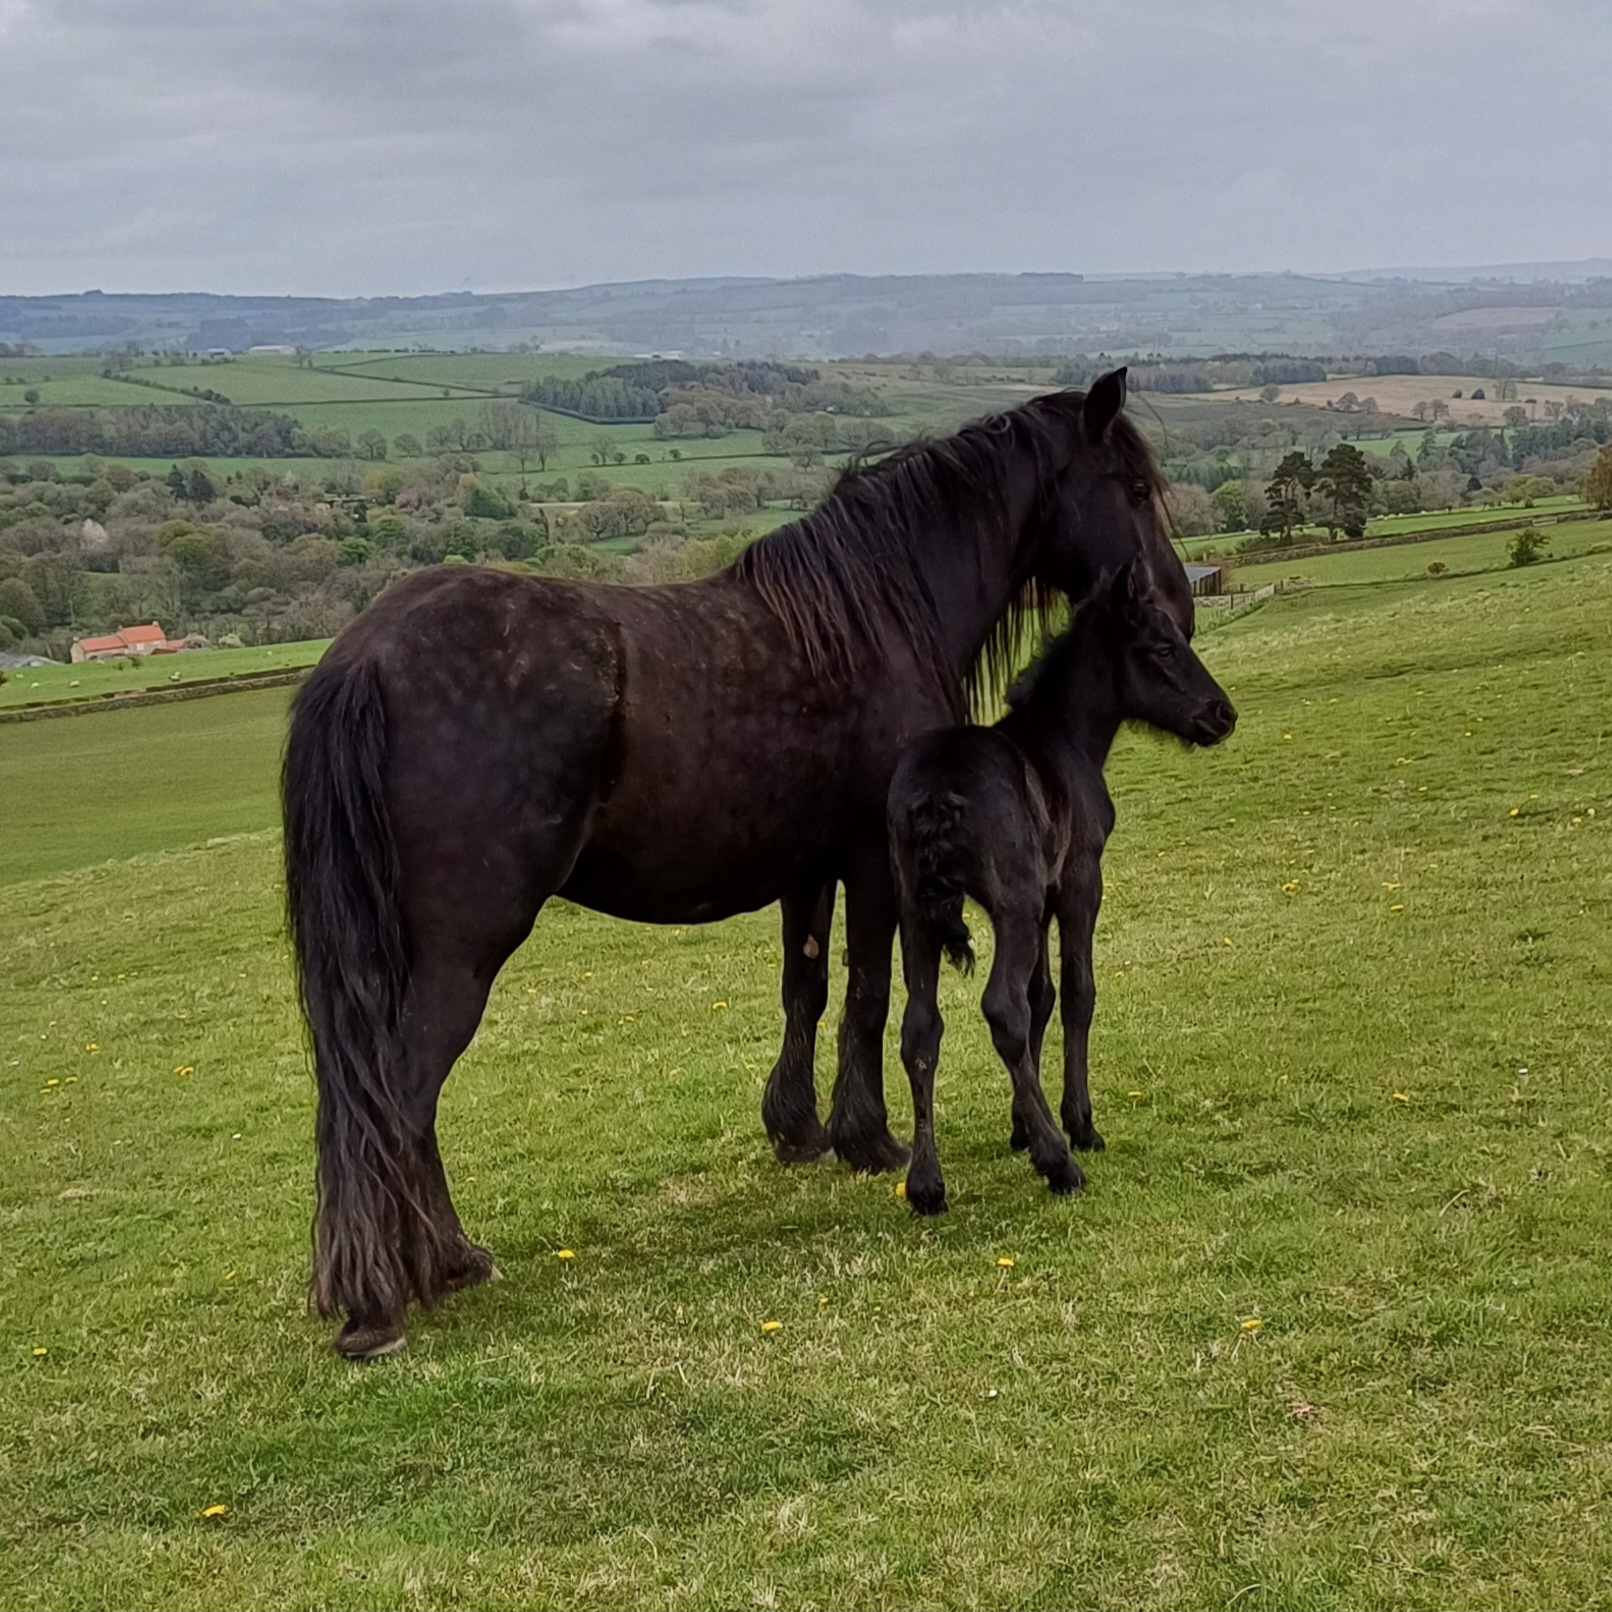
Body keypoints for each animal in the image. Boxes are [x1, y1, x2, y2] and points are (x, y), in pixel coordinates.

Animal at [889, 554, 1238, 1212]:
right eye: (1162, 648)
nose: (1222, 714)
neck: (1067, 740)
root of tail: (935, 793)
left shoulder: (1047, 897)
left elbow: (1042, 997)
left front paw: (1021, 1127)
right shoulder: (1078, 885)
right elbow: (1076, 993)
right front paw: (1077, 1125)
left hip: (914, 913)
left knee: (921, 1028)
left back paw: (926, 1184)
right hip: (1013, 907)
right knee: (1001, 1008)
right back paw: (1060, 1162)